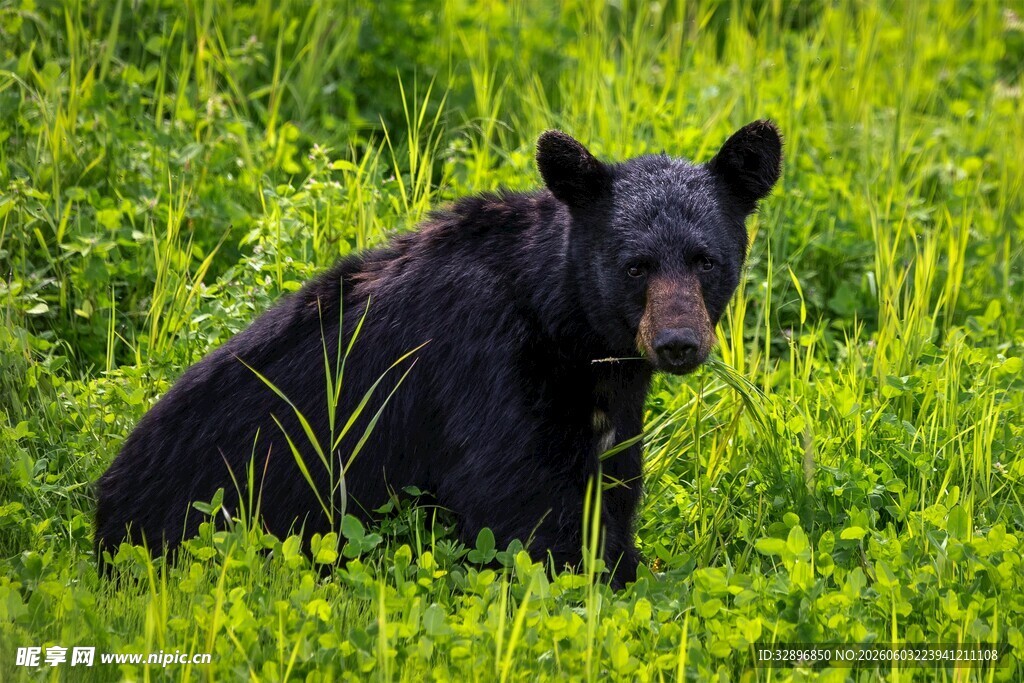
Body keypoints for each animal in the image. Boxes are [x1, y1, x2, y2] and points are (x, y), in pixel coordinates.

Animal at [95, 120, 782, 587]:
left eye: (706, 260)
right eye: (635, 266)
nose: (678, 343)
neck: (565, 326)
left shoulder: (608, 403)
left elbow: (610, 485)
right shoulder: (488, 366)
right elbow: (521, 505)